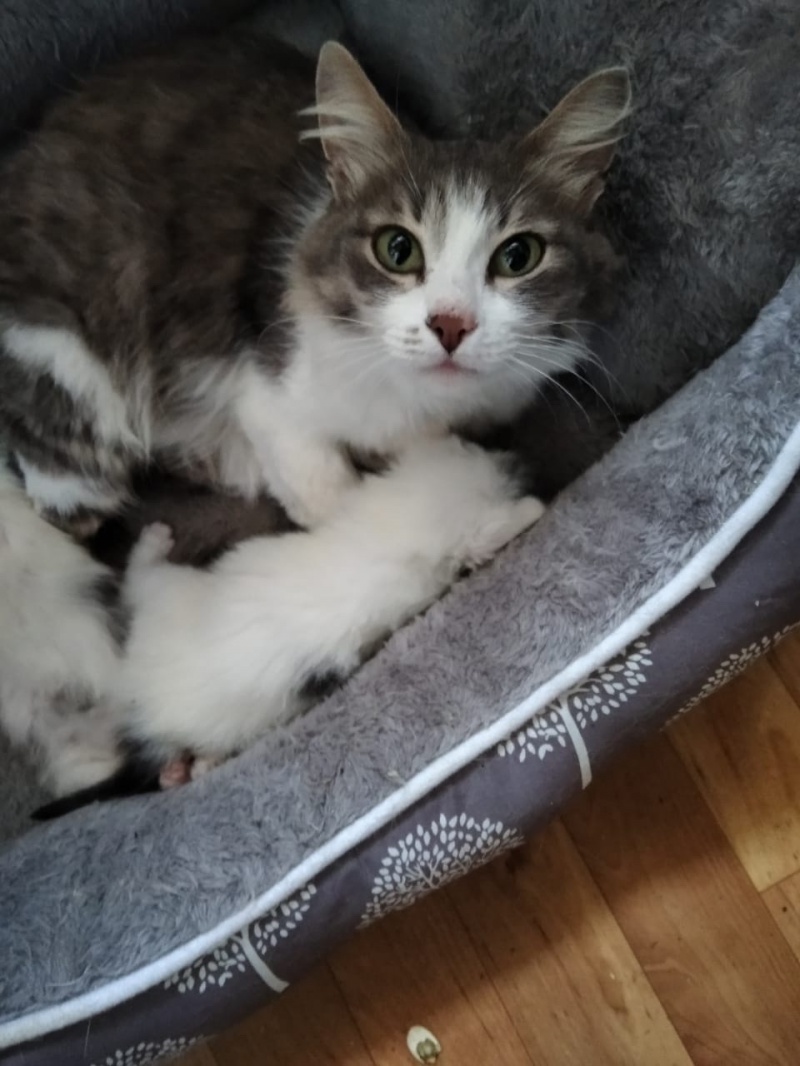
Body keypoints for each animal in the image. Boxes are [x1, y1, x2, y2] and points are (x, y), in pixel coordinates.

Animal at [0, 30, 629, 538]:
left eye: (518, 256)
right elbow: (335, 500)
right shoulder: (266, 385)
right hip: (71, 387)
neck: (419, 406)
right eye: (397, 249)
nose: (451, 324)